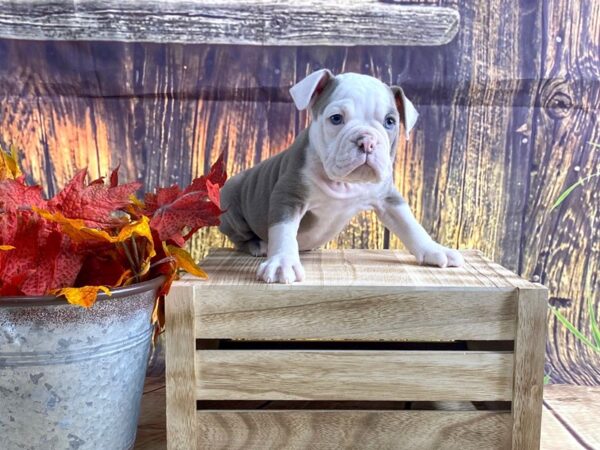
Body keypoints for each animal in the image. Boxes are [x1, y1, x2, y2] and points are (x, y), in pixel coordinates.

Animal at [219, 68, 464, 284]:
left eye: (390, 121)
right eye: (336, 118)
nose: (367, 141)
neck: (344, 183)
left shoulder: (389, 199)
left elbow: (410, 224)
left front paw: (435, 249)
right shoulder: (288, 195)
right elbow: (283, 231)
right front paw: (282, 263)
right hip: (230, 202)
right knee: (239, 236)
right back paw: (258, 245)